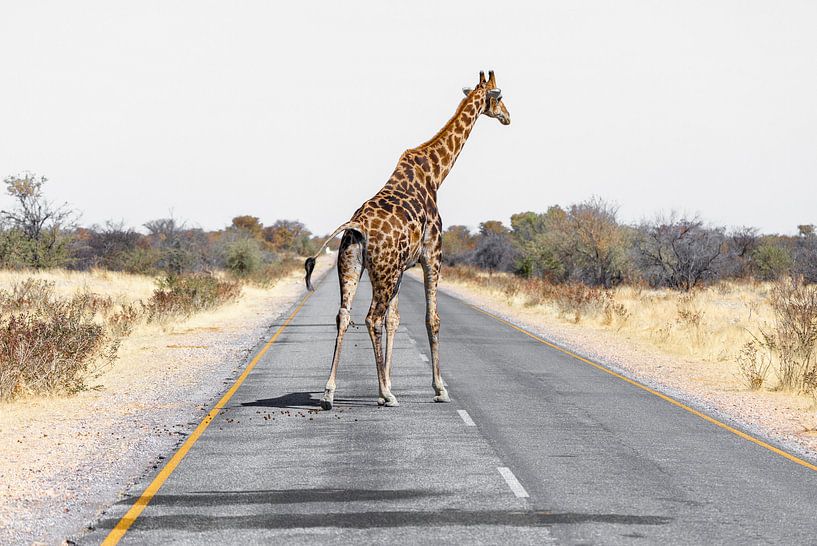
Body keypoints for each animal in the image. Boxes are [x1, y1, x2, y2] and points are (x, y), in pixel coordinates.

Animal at [305, 70, 510, 410]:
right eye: (501, 97)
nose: (508, 117)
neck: (436, 174)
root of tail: (356, 225)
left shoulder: (402, 268)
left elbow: (395, 320)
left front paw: (387, 384)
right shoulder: (432, 255)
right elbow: (431, 319)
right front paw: (437, 389)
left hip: (353, 267)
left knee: (344, 316)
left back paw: (329, 393)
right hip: (384, 271)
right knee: (371, 318)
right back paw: (386, 396)